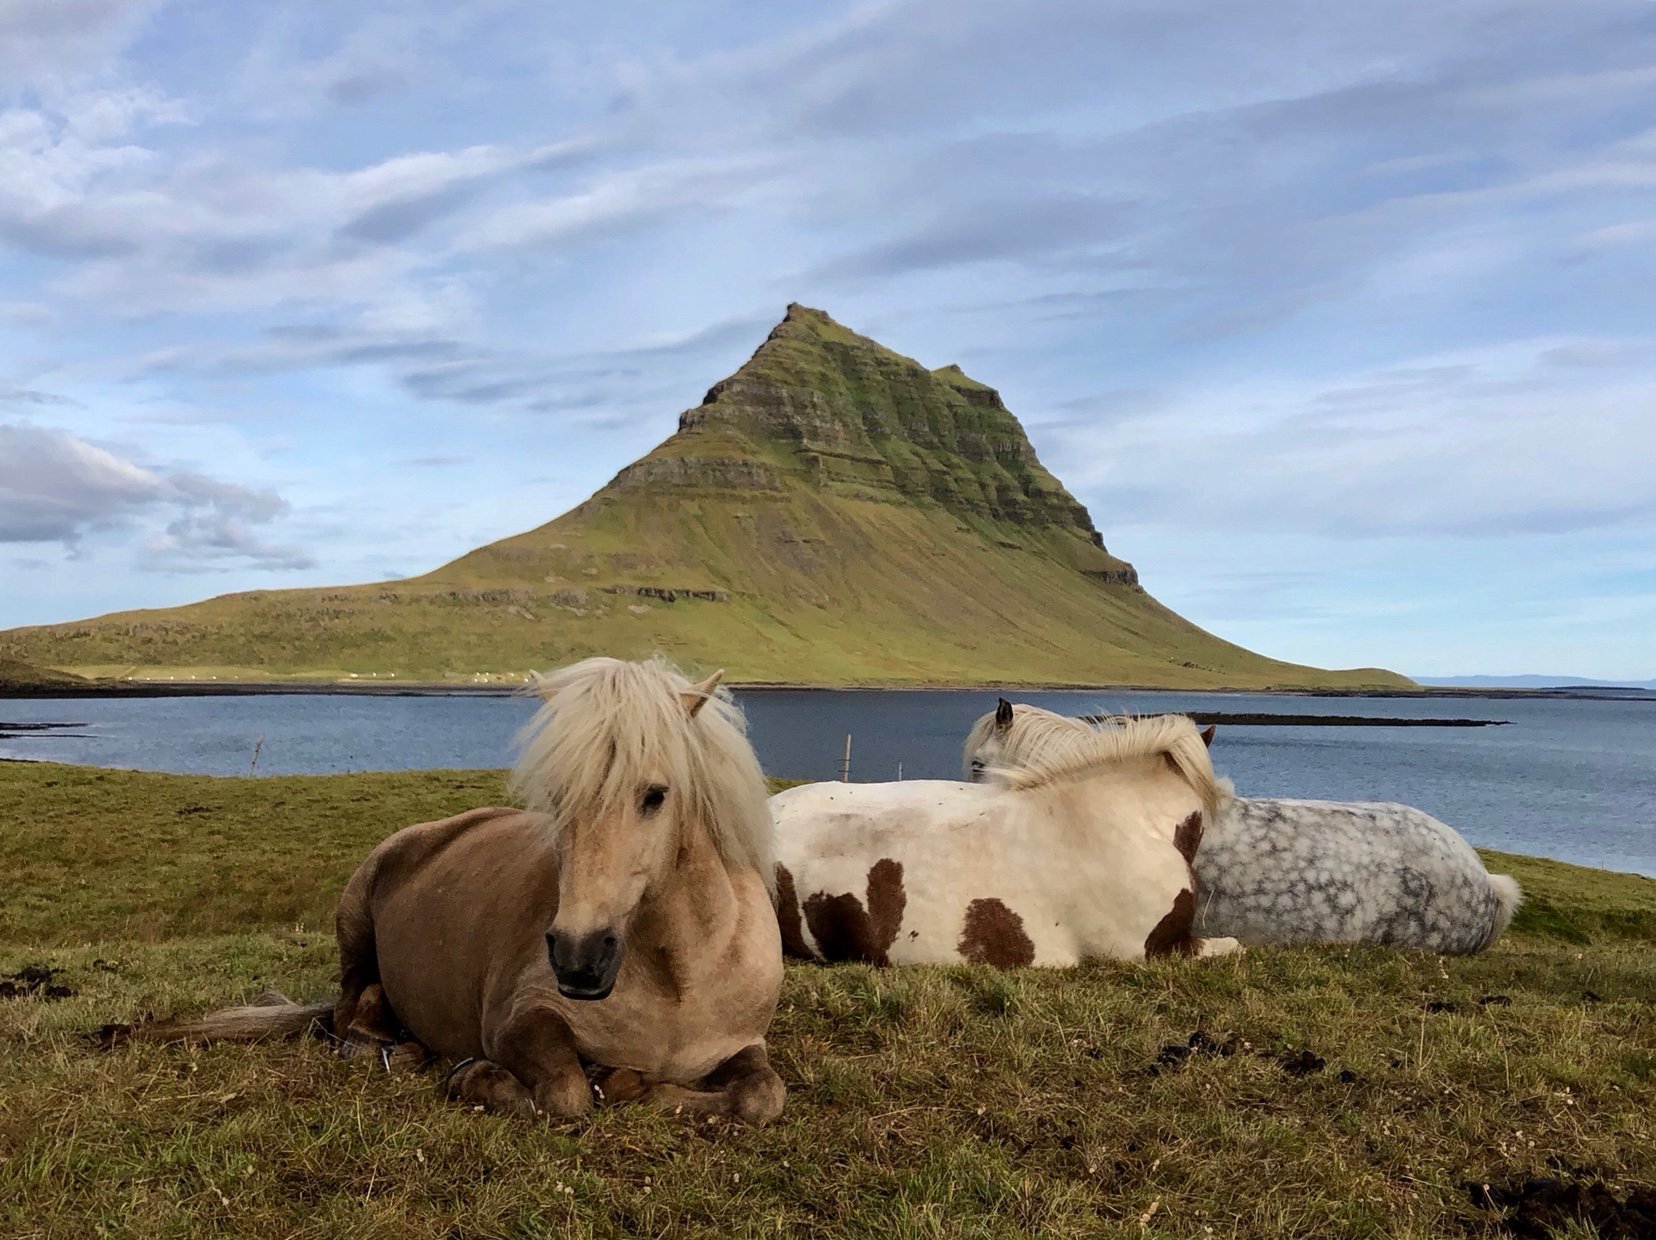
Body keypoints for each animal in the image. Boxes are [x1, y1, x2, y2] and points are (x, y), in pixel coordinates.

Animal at [135, 657, 787, 1124]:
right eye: (558, 797)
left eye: (656, 795)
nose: (578, 957)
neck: (676, 981)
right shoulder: (518, 1021)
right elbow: (565, 1091)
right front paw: (478, 1077)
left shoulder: (744, 1042)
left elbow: (763, 1096)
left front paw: (634, 1084)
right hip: (355, 931)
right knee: (347, 1019)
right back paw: (396, 1051)